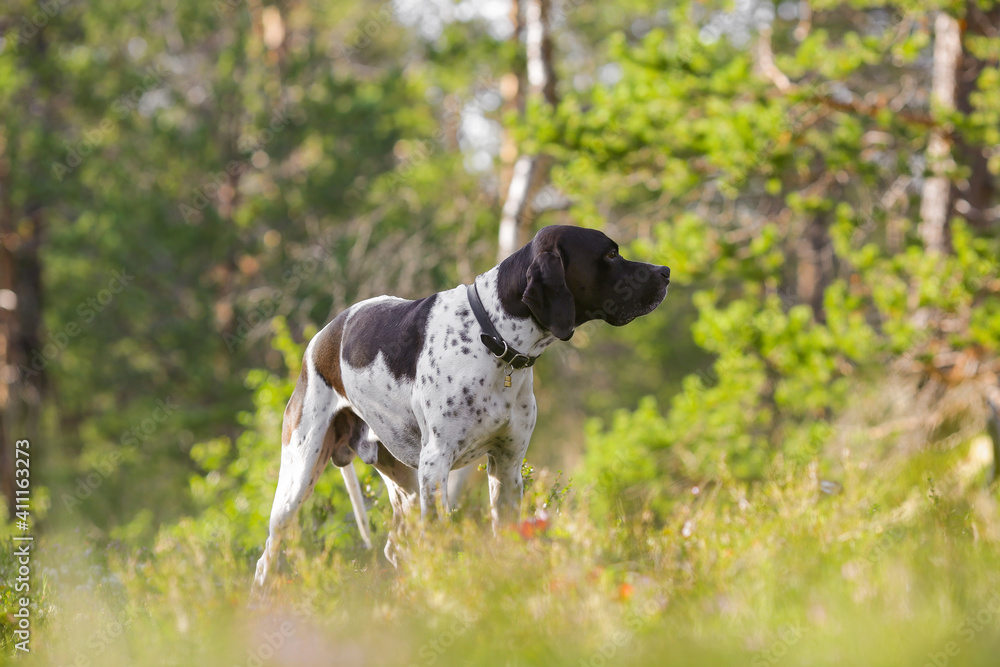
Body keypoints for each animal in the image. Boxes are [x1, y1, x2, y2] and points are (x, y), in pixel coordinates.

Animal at [252, 226, 672, 596]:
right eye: (611, 254)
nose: (666, 272)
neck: (495, 339)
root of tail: (321, 337)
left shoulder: (506, 468)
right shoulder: (437, 465)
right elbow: (440, 541)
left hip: (406, 486)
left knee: (395, 547)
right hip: (299, 480)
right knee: (267, 555)